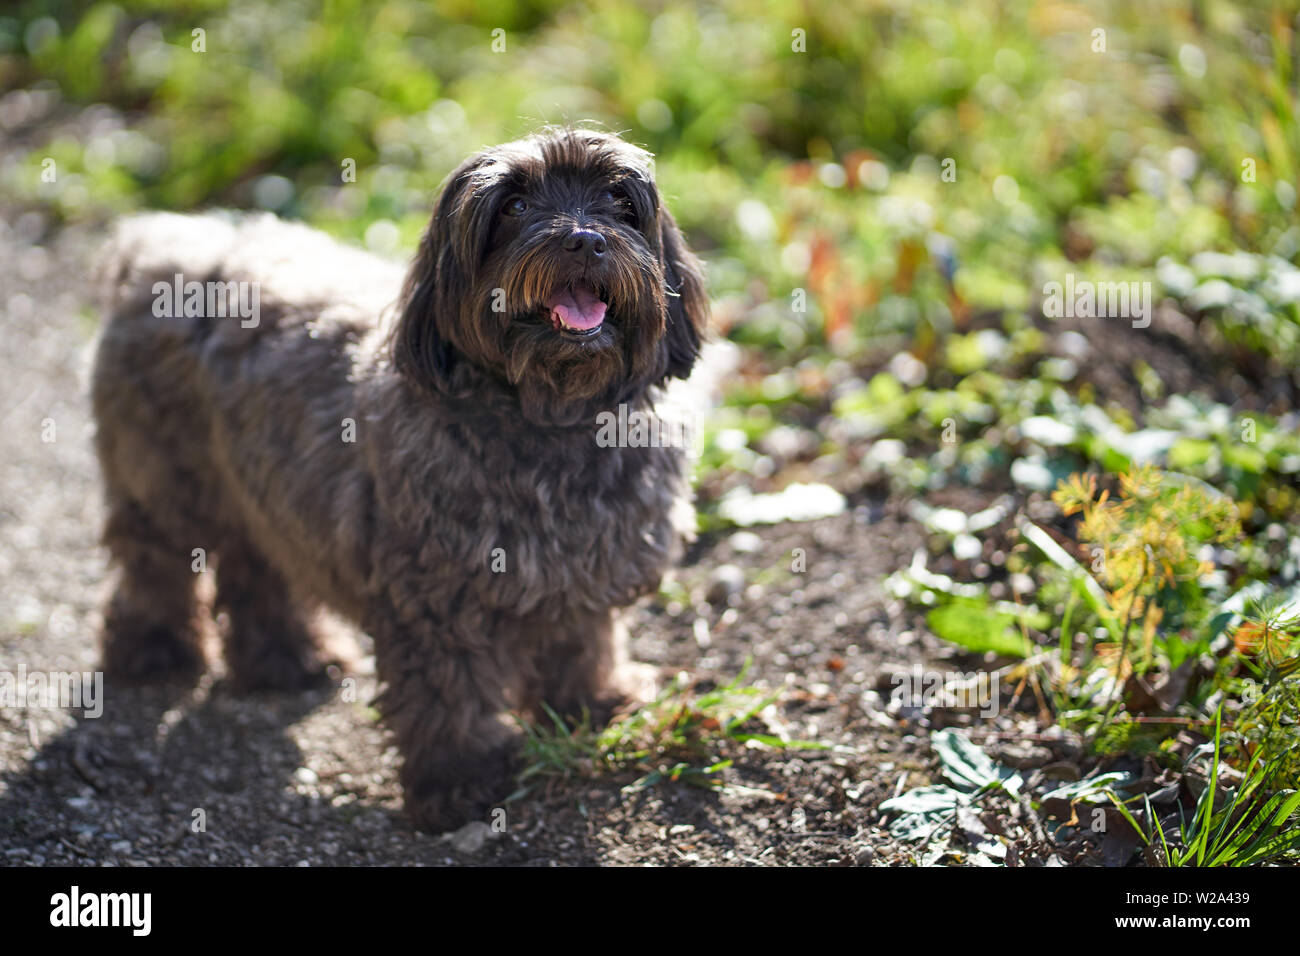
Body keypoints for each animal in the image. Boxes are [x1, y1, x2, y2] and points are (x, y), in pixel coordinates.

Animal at [92, 127, 712, 832]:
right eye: (513, 207)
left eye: (617, 200)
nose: (584, 239)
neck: (552, 416)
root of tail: (166, 241)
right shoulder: (434, 597)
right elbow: (447, 694)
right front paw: (458, 778)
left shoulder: (587, 568)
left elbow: (582, 639)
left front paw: (591, 703)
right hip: (167, 482)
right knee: (154, 562)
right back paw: (155, 649)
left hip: (264, 486)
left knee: (256, 567)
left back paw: (285, 659)